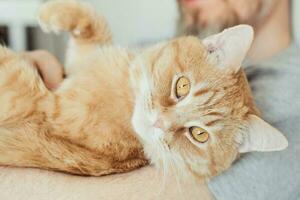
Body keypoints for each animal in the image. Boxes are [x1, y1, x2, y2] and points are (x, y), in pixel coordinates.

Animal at [0, 0, 288, 179]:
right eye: (182, 86)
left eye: (199, 134)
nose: (160, 122)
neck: (128, 90)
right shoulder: (81, 62)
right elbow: (95, 24)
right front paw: (52, 12)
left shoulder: (44, 105)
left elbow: (10, 70)